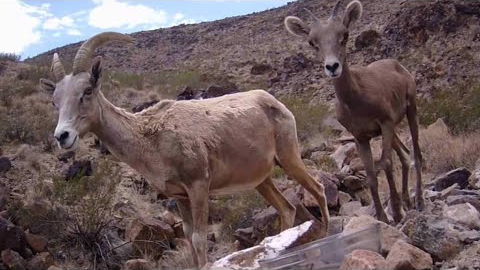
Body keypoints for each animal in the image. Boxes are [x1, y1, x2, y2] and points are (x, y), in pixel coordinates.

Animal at [38, 31, 330, 268]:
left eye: (87, 90)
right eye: (54, 101)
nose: (63, 136)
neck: (151, 139)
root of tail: (276, 104)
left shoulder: (198, 186)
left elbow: (199, 238)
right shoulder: (180, 196)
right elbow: (189, 237)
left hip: (289, 158)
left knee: (318, 189)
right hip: (262, 181)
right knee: (287, 209)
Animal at [284, 0, 424, 224]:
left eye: (345, 34)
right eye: (312, 42)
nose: (332, 66)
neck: (357, 100)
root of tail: (399, 66)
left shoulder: (385, 124)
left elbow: (385, 163)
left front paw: (396, 212)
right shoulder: (361, 137)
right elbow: (371, 175)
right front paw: (383, 218)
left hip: (411, 111)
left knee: (416, 155)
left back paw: (419, 201)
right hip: (392, 131)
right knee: (405, 155)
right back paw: (408, 201)